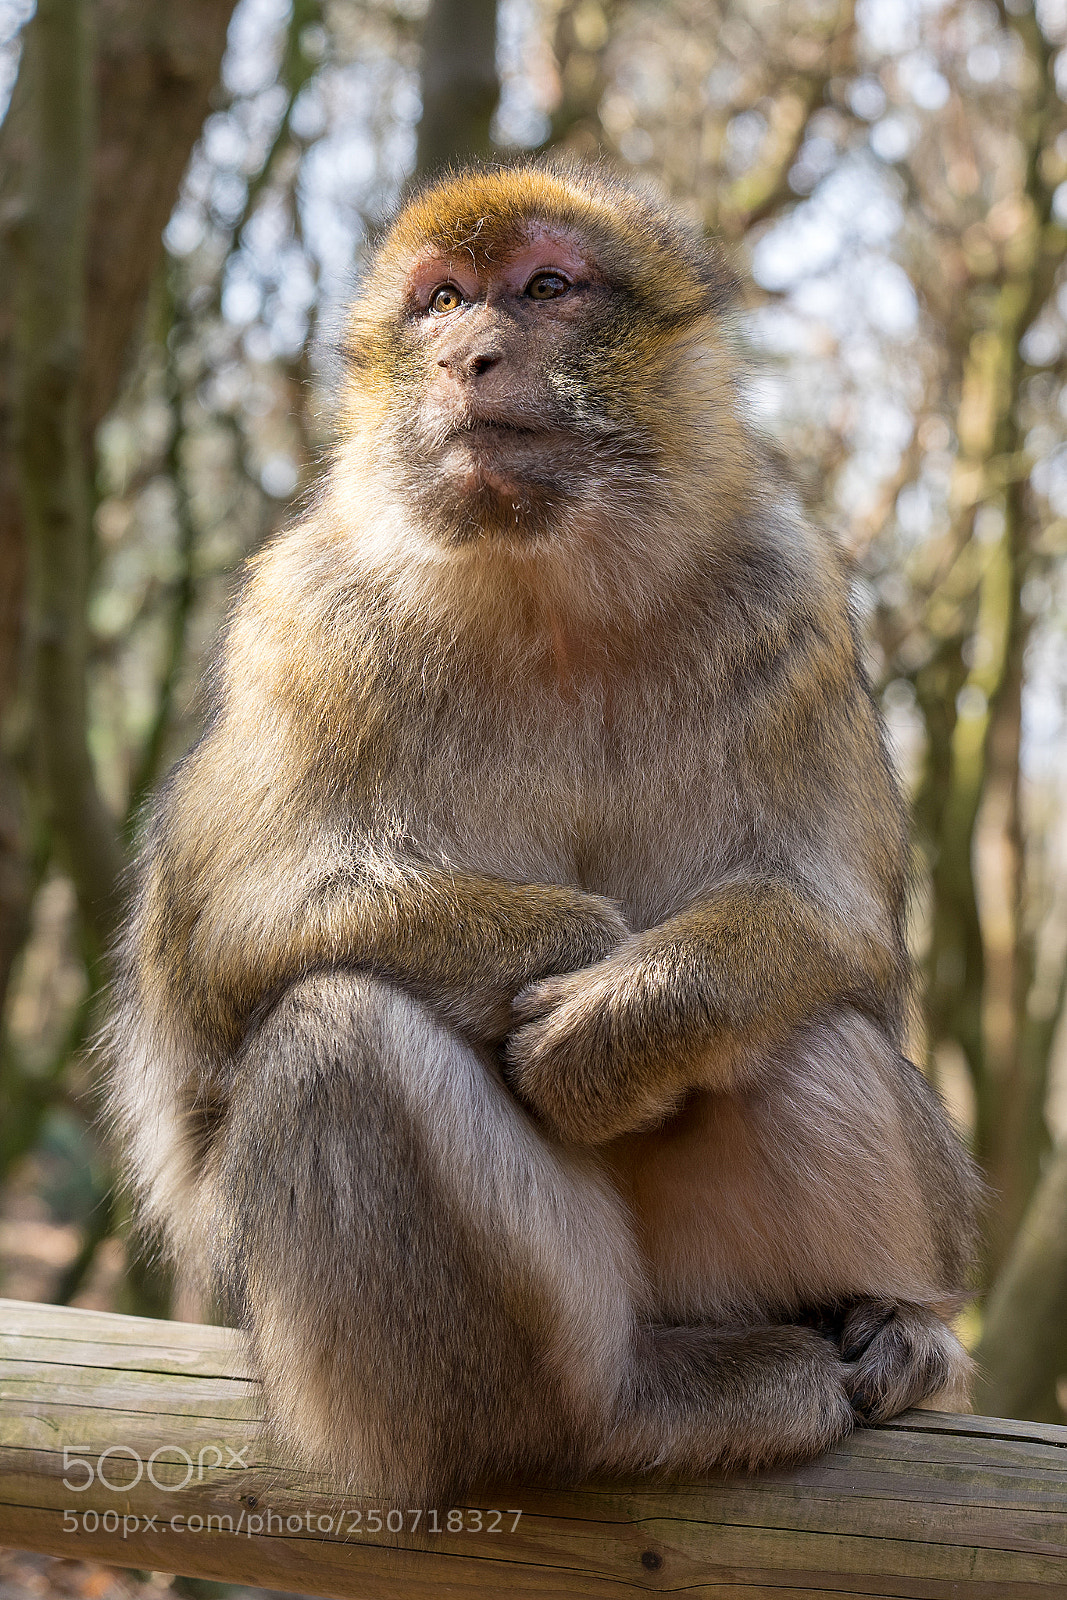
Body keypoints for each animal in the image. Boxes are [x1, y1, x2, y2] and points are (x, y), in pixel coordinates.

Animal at [108, 159, 981, 1504]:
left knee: (802, 1024)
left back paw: (882, 1323)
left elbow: (835, 930)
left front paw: (620, 1017)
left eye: (546, 288)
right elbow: (230, 942)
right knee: (339, 1030)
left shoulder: (787, 609)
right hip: (346, 1380)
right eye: (441, 300)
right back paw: (617, 1415)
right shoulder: (304, 625)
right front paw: (562, 944)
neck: (550, 593)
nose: (468, 354)